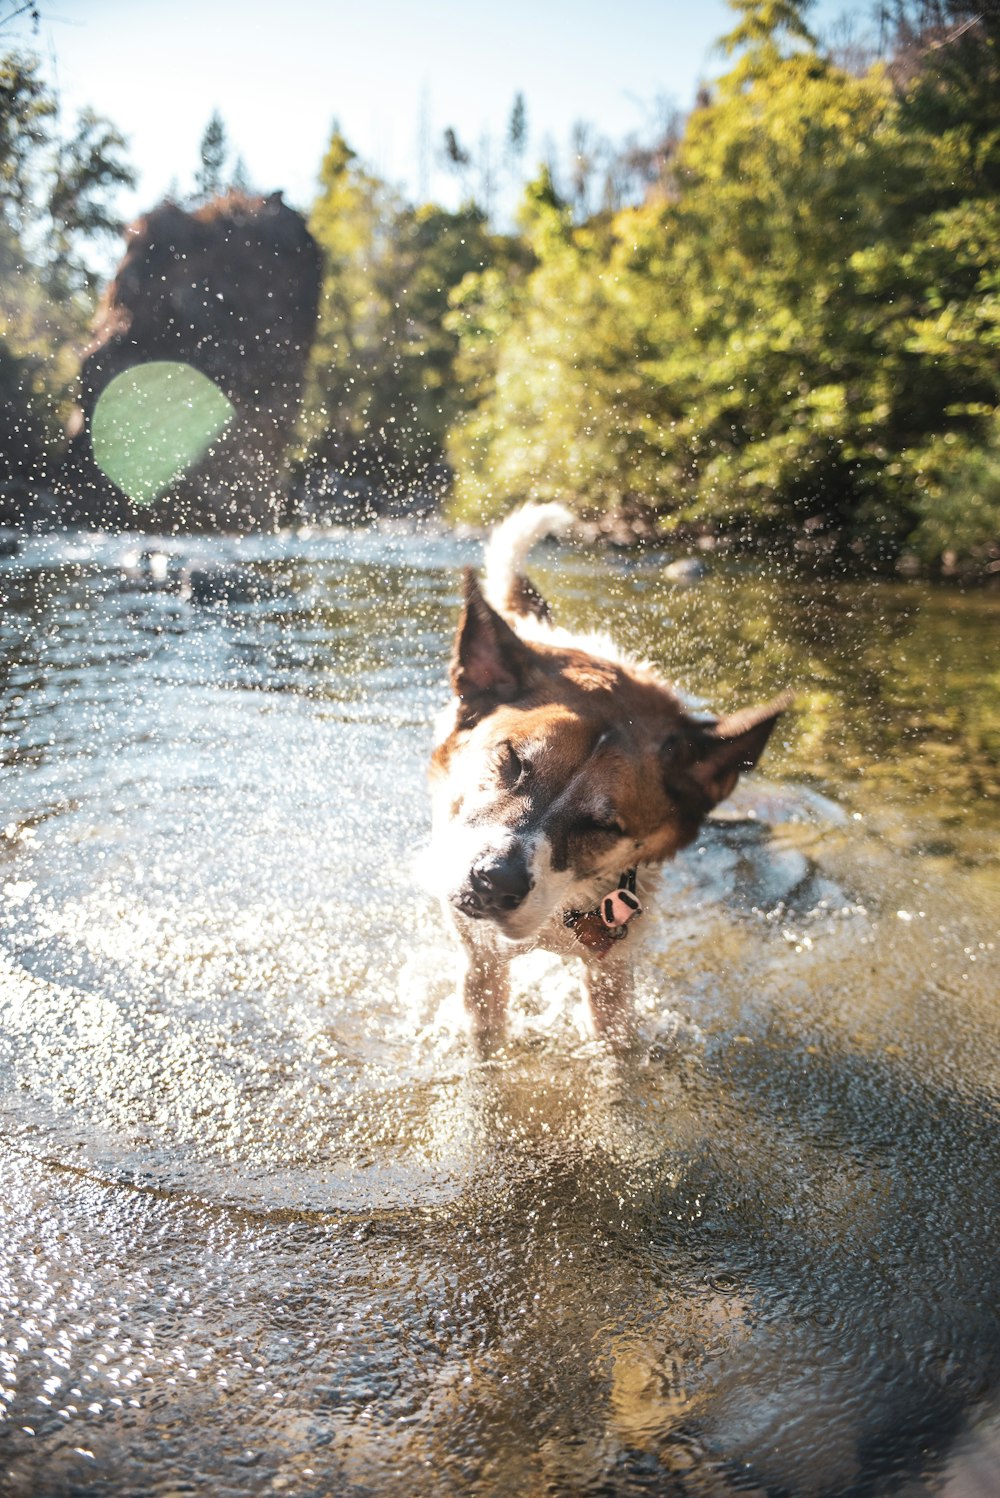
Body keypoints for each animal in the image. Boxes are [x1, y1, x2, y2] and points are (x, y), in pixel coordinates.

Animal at [431, 506, 790, 1054]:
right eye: (511, 760)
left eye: (604, 826)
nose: (494, 883)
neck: (565, 906)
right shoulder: (482, 957)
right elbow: (485, 1028)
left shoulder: (614, 969)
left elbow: (617, 1044)